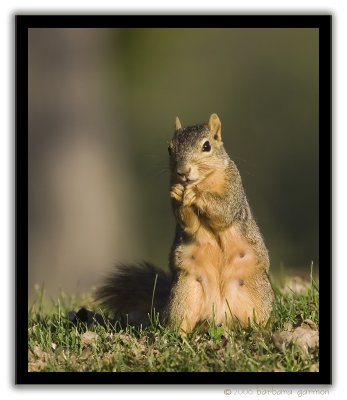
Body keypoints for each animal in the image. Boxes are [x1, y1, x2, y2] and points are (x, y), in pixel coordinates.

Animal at [95, 113, 274, 334]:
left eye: (207, 146)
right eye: (169, 148)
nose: (182, 171)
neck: (202, 180)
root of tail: (219, 314)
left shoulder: (233, 189)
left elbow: (224, 211)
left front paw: (197, 194)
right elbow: (189, 223)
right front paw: (180, 192)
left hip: (256, 292)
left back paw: (258, 329)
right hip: (185, 293)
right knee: (180, 322)